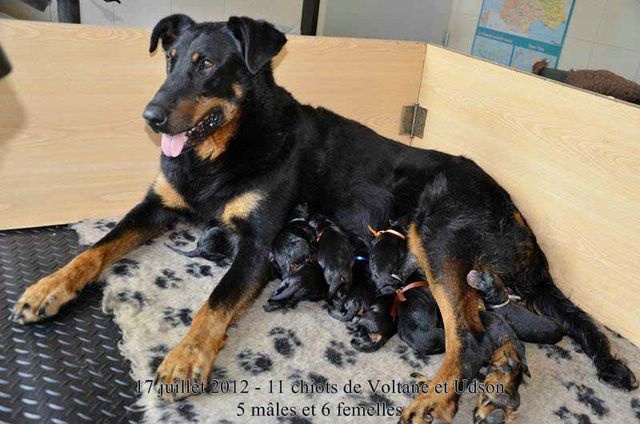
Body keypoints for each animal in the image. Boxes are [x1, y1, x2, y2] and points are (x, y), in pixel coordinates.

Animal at [10, 14, 636, 422]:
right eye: (169, 61)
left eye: (206, 64)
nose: (150, 116)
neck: (226, 147)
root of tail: (517, 214)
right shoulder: (158, 205)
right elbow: (97, 246)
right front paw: (47, 287)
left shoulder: (259, 244)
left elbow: (215, 300)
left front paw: (185, 358)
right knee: (494, 330)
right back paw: (498, 392)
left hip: (435, 235)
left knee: (471, 334)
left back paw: (439, 399)